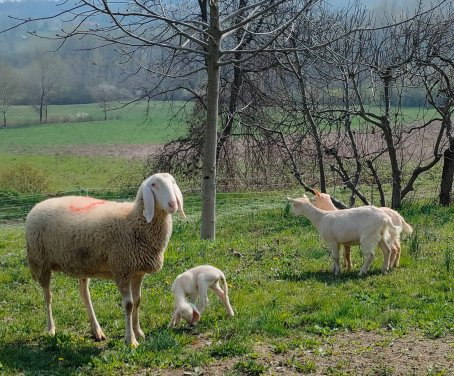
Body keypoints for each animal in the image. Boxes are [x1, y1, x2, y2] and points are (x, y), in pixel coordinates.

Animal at [24, 172, 184, 348]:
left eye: (173, 182)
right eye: (154, 185)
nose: (173, 204)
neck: (134, 220)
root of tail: (37, 205)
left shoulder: (137, 272)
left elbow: (137, 301)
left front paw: (139, 332)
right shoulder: (121, 269)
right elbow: (128, 305)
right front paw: (131, 340)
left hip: (81, 263)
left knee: (84, 294)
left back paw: (97, 331)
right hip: (41, 262)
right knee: (48, 296)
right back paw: (51, 329)